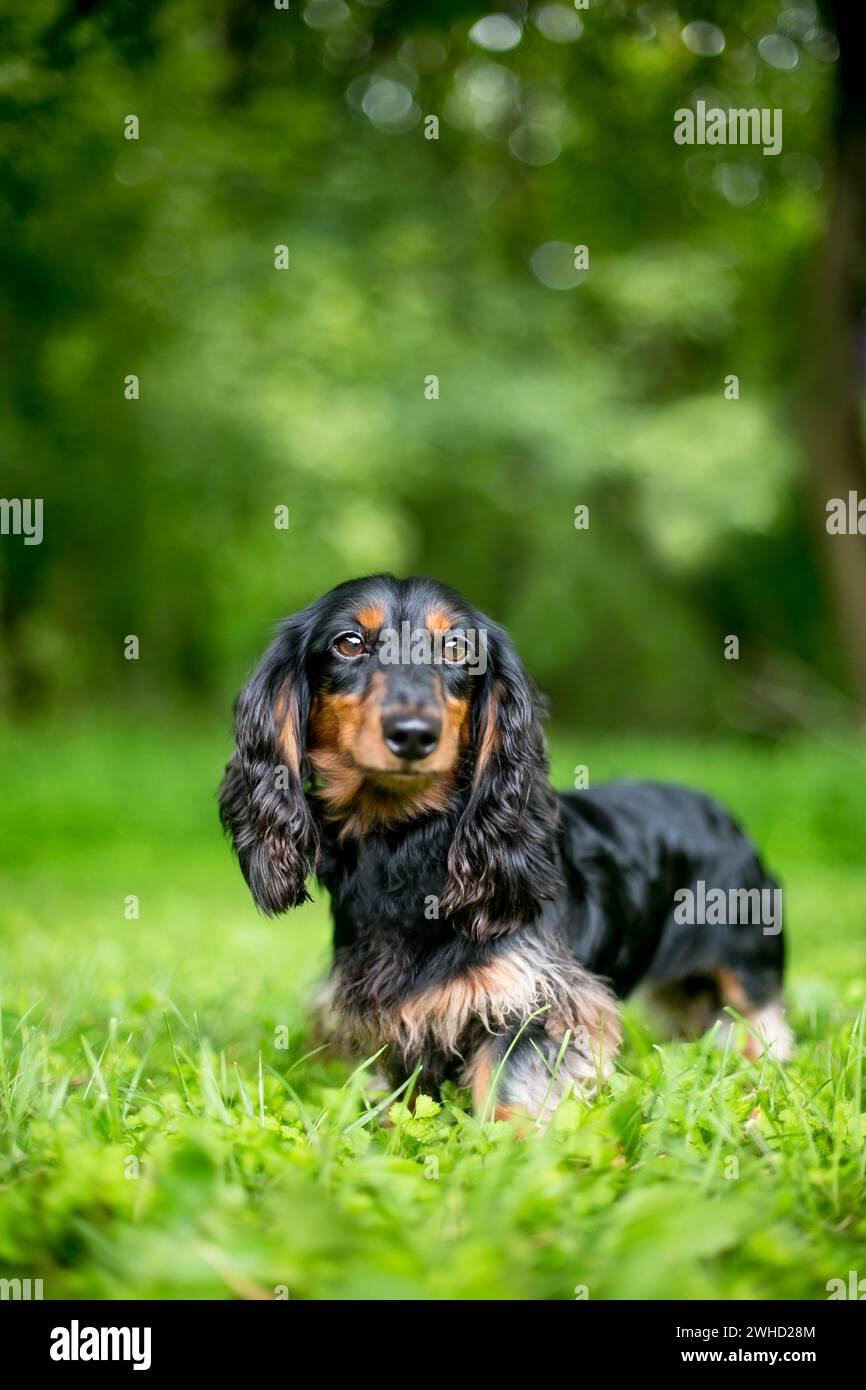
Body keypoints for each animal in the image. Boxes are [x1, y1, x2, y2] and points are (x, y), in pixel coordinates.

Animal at [219, 569, 795, 1123]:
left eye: (457, 648)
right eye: (348, 643)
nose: (413, 733)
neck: (408, 846)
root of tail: (719, 811)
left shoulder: (532, 995)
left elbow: (508, 1085)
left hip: (746, 963)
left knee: (764, 1026)